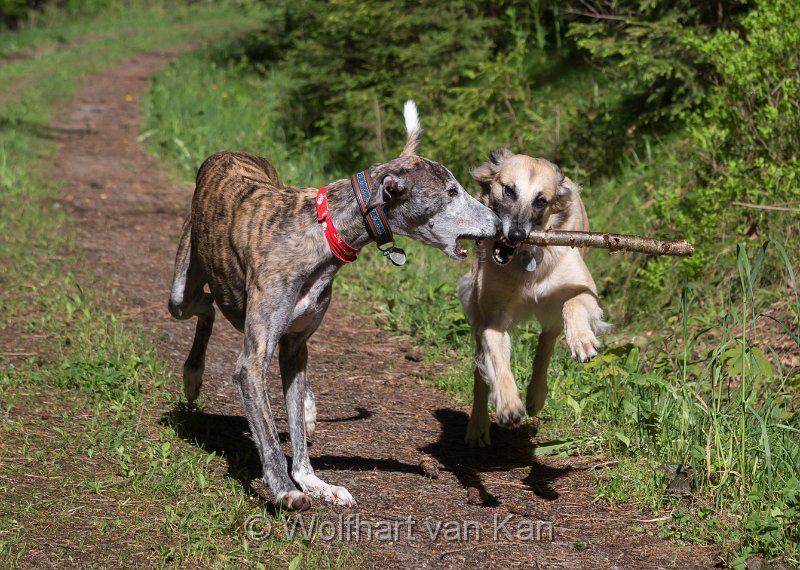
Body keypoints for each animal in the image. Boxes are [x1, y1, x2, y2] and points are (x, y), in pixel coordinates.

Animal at [169, 100, 500, 508]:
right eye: (452, 191)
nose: (501, 223)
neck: (323, 229)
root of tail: (227, 152)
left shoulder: (294, 344)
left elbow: (296, 426)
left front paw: (312, 481)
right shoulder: (252, 363)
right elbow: (268, 434)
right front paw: (284, 488)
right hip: (180, 292)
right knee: (205, 306)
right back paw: (192, 375)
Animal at [456, 149, 608, 446]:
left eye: (541, 201)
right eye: (509, 190)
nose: (515, 235)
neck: (526, 258)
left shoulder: (586, 291)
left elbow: (573, 302)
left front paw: (582, 340)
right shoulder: (492, 320)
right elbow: (497, 362)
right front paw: (508, 405)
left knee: (546, 343)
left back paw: (536, 395)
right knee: (481, 373)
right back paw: (478, 425)